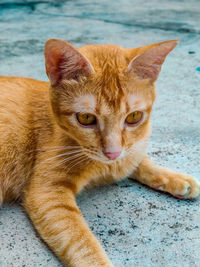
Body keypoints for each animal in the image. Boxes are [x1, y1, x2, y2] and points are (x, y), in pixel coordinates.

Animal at [0, 38, 199, 266]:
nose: (112, 153)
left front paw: (175, 178)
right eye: (86, 118)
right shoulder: (48, 193)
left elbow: (140, 161)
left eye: (134, 117)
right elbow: (81, 243)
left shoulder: (128, 153)